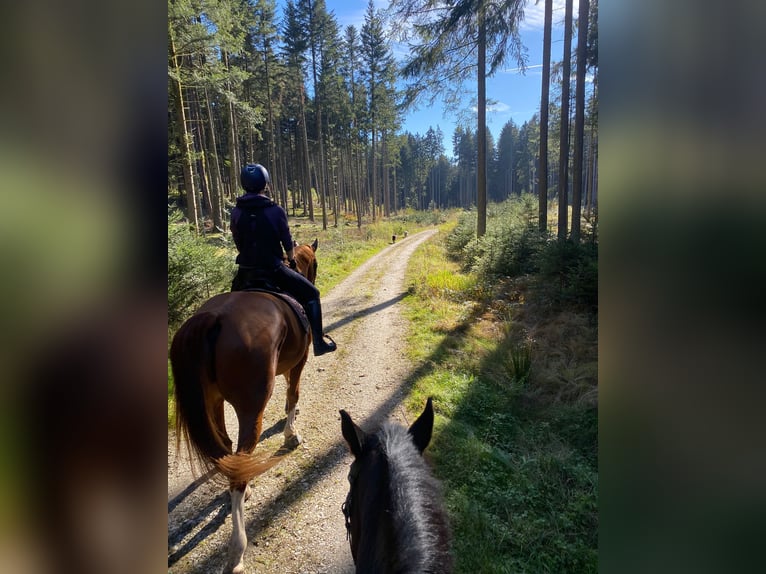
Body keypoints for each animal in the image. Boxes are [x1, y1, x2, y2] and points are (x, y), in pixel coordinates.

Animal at [170, 241, 318, 572]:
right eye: (313, 264)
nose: (314, 276)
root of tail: (213, 319)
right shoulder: (299, 360)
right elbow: (293, 394)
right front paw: (291, 434)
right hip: (250, 407)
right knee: (238, 467)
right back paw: (237, 550)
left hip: (213, 401)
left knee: (229, 452)